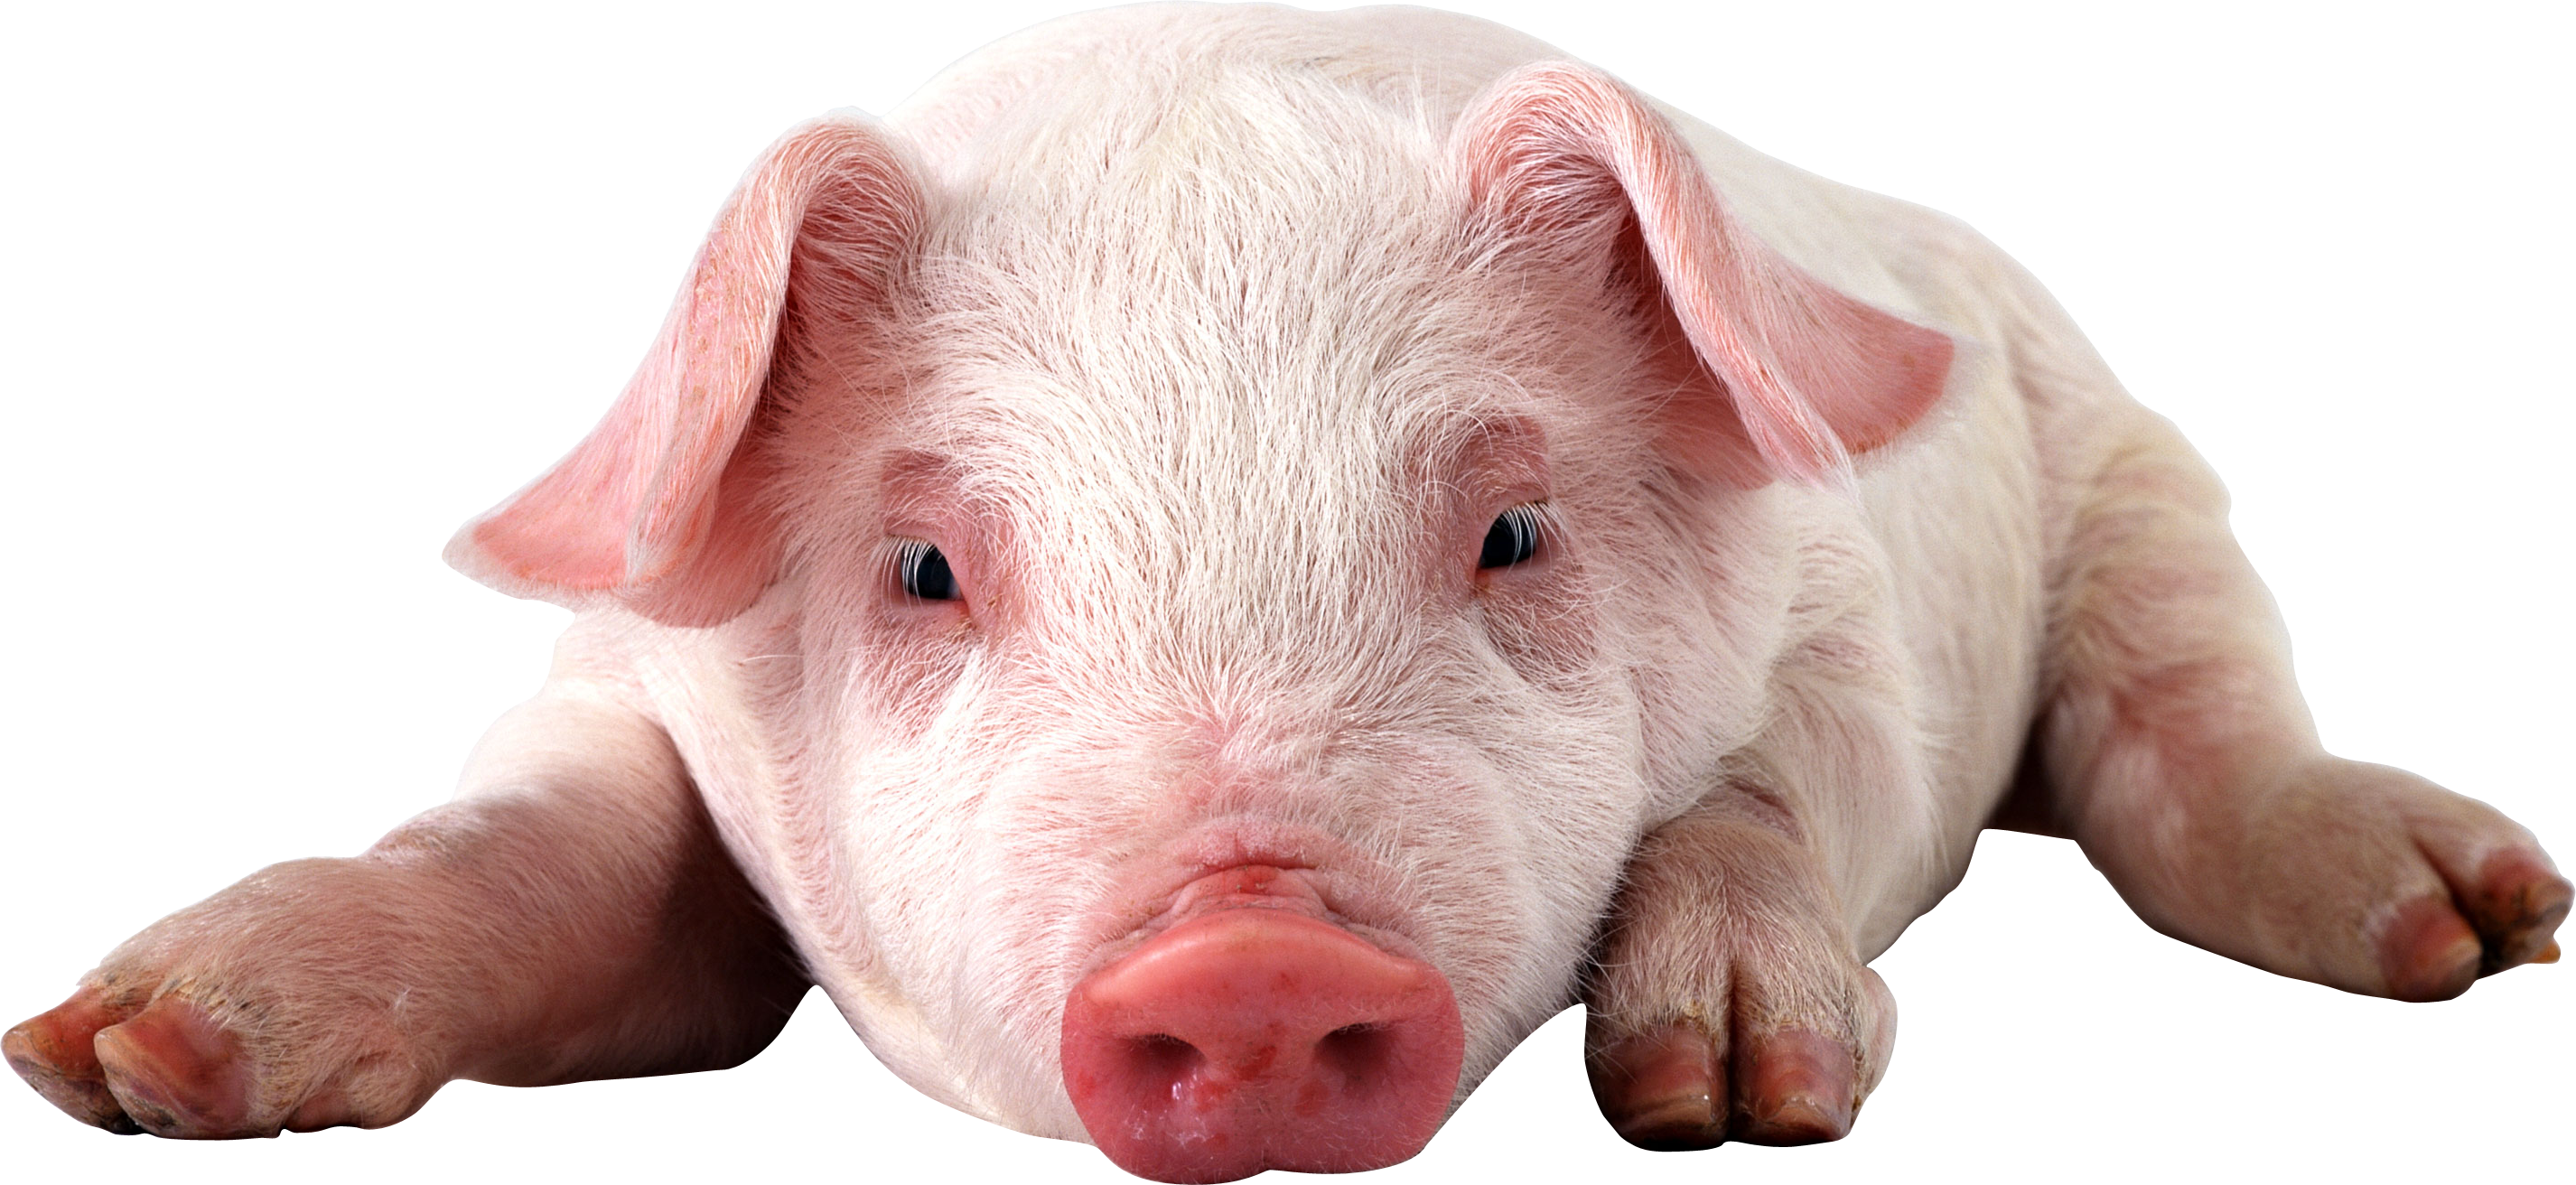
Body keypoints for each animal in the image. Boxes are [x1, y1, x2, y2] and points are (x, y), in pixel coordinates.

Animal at [7, 5, 2568, 1180]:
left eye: (1513, 533)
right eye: (925, 563)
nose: (1250, 950)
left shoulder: (1845, 639)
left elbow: (1753, 790)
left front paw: (1724, 1092)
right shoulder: (640, 689)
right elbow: (537, 840)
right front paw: (130, 1058)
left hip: (2130, 472)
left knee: (2188, 731)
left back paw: (2468, 919)